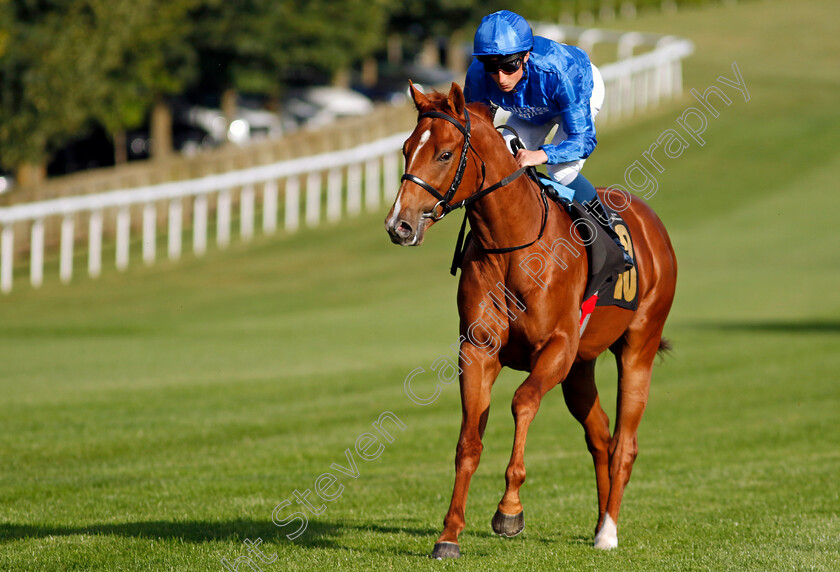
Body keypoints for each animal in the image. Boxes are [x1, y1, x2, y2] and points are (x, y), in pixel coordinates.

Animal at [384, 82, 680, 556]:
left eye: (445, 154)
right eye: (407, 149)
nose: (400, 225)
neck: (511, 243)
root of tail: (653, 225)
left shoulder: (556, 347)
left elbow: (522, 401)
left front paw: (509, 511)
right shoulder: (478, 350)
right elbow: (468, 442)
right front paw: (449, 535)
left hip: (639, 346)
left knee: (624, 443)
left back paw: (609, 531)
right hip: (581, 368)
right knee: (600, 435)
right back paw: (599, 522)